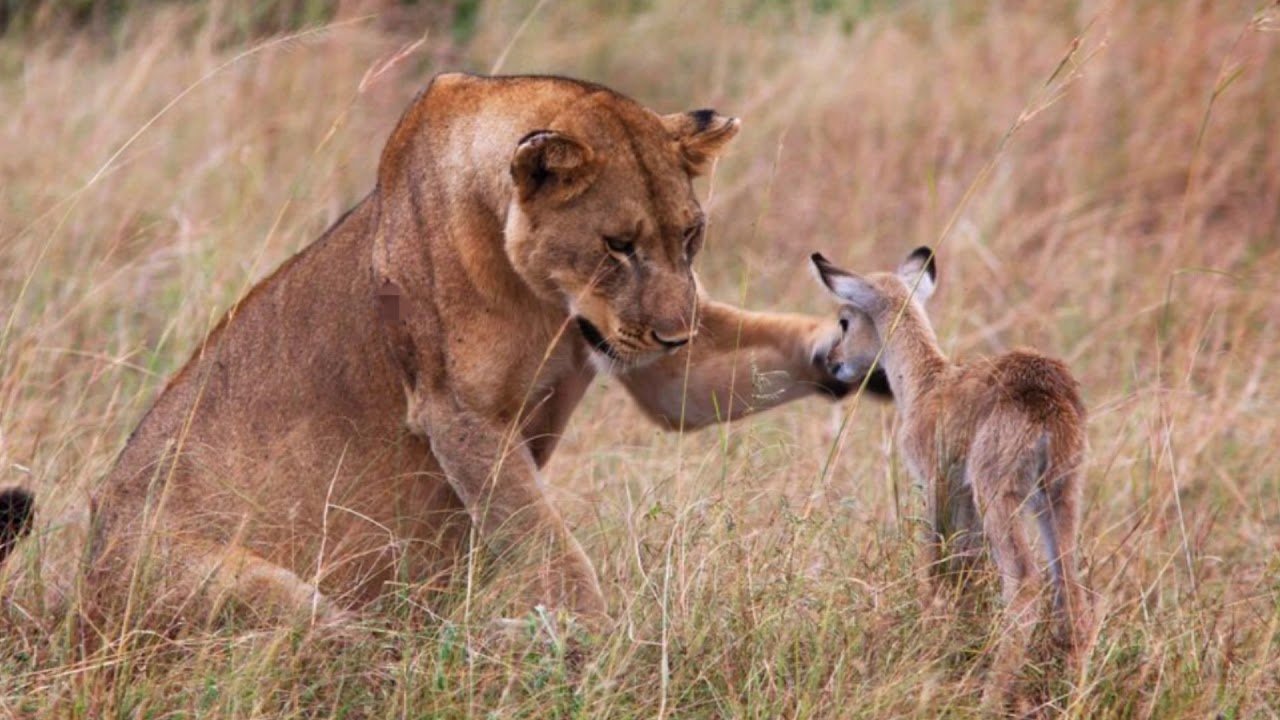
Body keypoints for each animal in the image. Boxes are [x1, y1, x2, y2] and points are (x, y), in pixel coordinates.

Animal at [1, 73, 887, 631]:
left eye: (691, 236)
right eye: (617, 244)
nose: (677, 329)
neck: (542, 296)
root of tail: (77, 601)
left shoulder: (654, 368)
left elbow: (746, 357)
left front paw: (863, 347)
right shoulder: (460, 417)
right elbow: (551, 549)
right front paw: (605, 647)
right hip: (244, 584)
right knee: (332, 650)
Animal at [810, 247, 1091, 706]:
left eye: (845, 319)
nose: (833, 363)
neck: (927, 384)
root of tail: (1049, 399)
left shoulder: (936, 486)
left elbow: (934, 566)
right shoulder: (964, 500)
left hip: (1000, 497)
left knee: (1025, 585)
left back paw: (989, 700)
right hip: (1060, 496)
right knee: (1073, 596)